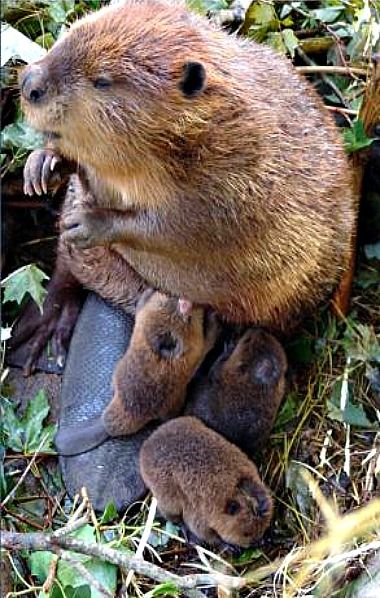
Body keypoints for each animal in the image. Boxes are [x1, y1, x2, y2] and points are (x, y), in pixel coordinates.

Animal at [18, 0, 356, 366]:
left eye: (102, 80)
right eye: (73, 29)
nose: (29, 83)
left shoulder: (241, 178)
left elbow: (179, 228)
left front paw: (85, 222)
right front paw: (42, 166)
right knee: (66, 270)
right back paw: (41, 329)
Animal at [54, 290, 218, 454]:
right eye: (188, 318)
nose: (185, 301)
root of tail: (106, 426)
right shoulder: (193, 350)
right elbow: (206, 343)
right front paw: (214, 319)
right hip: (173, 401)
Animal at [140, 418, 274, 548]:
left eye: (263, 528)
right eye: (246, 534)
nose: (257, 543)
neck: (233, 486)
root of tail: (147, 443)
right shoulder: (199, 510)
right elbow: (202, 531)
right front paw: (228, 546)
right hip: (165, 495)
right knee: (171, 516)